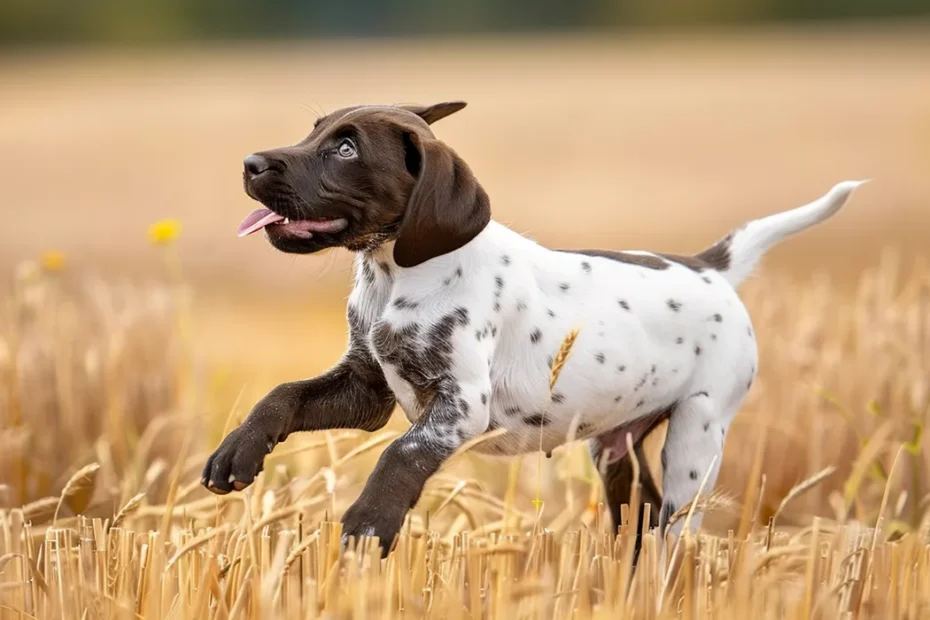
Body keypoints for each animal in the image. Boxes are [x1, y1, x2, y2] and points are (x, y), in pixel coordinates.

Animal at [203, 99, 864, 556]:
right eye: (314, 132)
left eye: (345, 149)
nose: (250, 163)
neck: (393, 273)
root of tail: (705, 266)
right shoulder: (365, 387)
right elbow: (283, 395)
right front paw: (236, 452)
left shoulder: (460, 405)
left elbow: (400, 452)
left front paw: (369, 523)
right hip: (617, 447)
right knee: (642, 521)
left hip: (698, 437)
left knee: (675, 531)